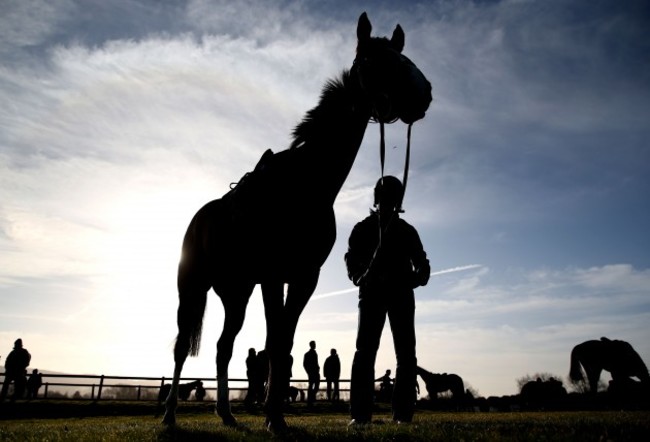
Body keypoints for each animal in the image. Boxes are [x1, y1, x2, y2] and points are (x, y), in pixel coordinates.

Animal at [161, 12, 430, 432]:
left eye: (403, 56)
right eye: (374, 61)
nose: (424, 93)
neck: (306, 185)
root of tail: (201, 218)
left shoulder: (305, 277)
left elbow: (284, 343)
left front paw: (276, 415)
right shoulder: (273, 275)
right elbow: (274, 344)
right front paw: (273, 416)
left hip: (236, 293)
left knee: (223, 347)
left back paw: (226, 413)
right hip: (193, 287)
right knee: (179, 346)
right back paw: (170, 414)